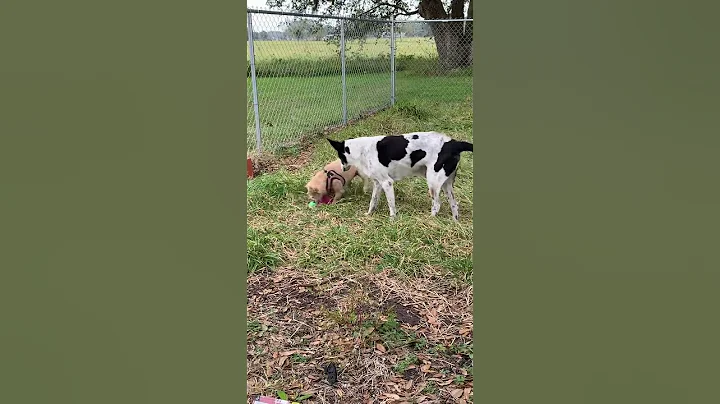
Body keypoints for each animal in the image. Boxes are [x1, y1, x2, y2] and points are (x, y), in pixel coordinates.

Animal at [326, 132, 472, 221]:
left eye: (340, 156)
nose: (341, 168)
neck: (362, 150)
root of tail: (454, 143)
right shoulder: (378, 184)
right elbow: (373, 202)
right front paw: (369, 214)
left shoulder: (387, 183)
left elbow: (391, 205)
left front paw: (392, 220)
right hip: (447, 185)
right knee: (454, 204)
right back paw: (454, 222)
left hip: (433, 183)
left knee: (437, 204)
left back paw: (430, 219)